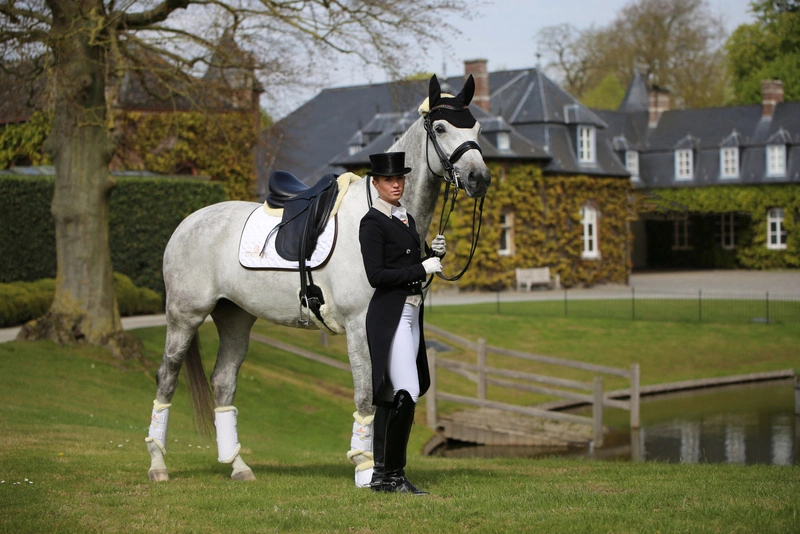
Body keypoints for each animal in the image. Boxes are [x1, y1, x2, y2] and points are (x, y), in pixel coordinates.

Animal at [145, 74, 492, 485]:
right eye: (440, 128)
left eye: (477, 128)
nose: (479, 178)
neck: (382, 216)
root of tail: (187, 223)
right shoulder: (360, 327)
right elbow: (364, 393)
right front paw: (364, 468)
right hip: (184, 316)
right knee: (167, 377)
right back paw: (158, 463)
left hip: (235, 317)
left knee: (223, 382)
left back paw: (238, 466)